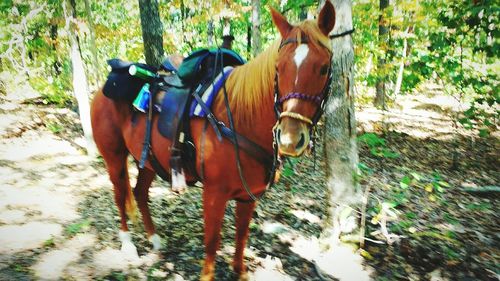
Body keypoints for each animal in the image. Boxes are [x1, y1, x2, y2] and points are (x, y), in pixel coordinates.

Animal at [91, 1, 336, 278]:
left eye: (324, 68)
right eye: (278, 67)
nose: (289, 138)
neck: (240, 119)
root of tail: (102, 88)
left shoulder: (248, 196)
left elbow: (241, 236)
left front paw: (240, 271)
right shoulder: (214, 193)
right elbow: (212, 242)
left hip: (151, 161)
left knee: (139, 193)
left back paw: (154, 240)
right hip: (114, 157)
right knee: (120, 194)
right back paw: (128, 243)